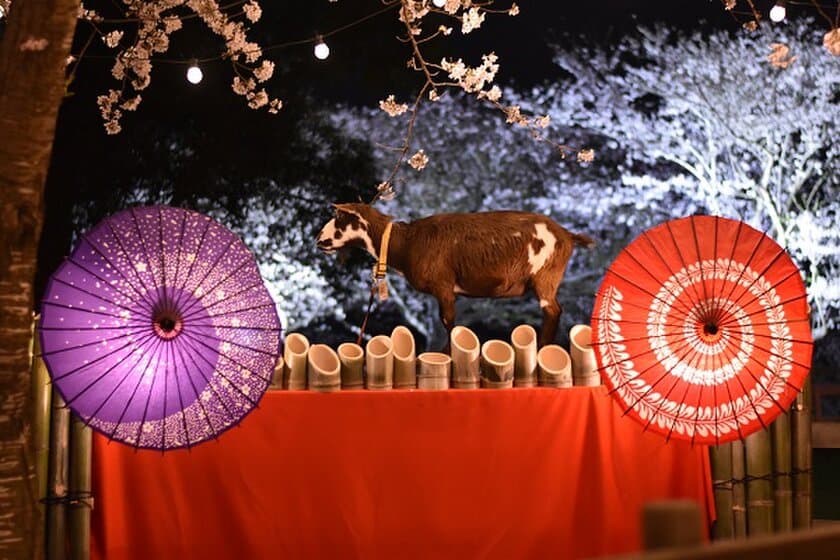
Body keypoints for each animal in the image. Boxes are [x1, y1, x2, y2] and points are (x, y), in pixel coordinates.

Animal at [316, 203, 596, 348]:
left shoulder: (443, 286)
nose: (319, 241)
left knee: (553, 312)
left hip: (545, 277)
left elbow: (449, 323)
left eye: (339, 218)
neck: (405, 242)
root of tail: (567, 235)